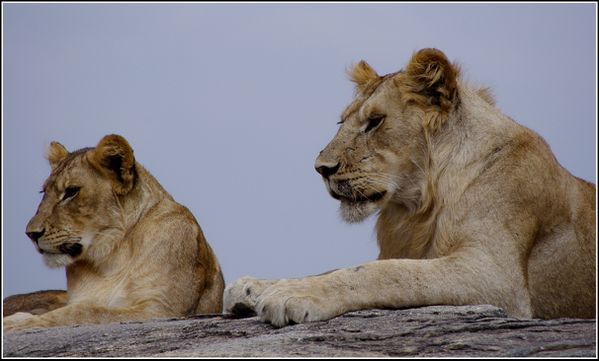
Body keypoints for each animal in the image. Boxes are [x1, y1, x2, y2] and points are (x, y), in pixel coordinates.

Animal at [3, 134, 224, 330]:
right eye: (44, 192)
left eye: (71, 191)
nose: (31, 233)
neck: (110, 257)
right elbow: (77, 308)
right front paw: (16, 319)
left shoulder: (161, 309)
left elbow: (85, 311)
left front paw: (15, 325)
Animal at [224, 47, 596, 326]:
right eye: (342, 121)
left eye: (375, 122)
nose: (321, 169)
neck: (423, 205)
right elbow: (338, 266)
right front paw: (253, 288)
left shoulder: (497, 278)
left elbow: (386, 272)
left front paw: (293, 294)